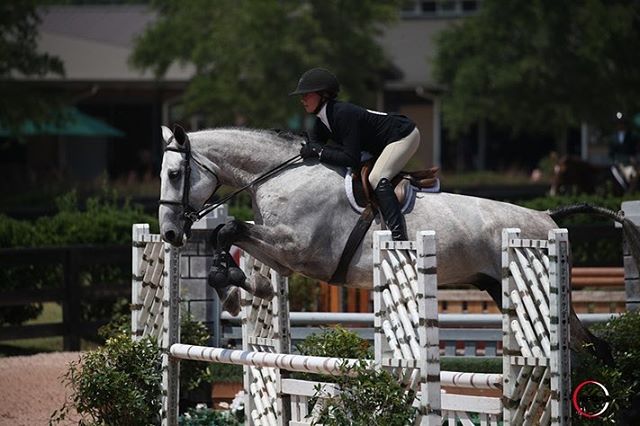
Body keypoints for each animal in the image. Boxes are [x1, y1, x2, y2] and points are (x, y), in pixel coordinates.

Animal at [159, 125, 640, 364]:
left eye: (174, 174)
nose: (169, 235)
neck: (280, 173)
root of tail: (547, 216)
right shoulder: (284, 253)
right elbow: (230, 236)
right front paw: (239, 287)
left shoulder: (298, 249)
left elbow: (227, 230)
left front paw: (232, 287)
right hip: (501, 287)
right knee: (587, 345)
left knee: (590, 346)